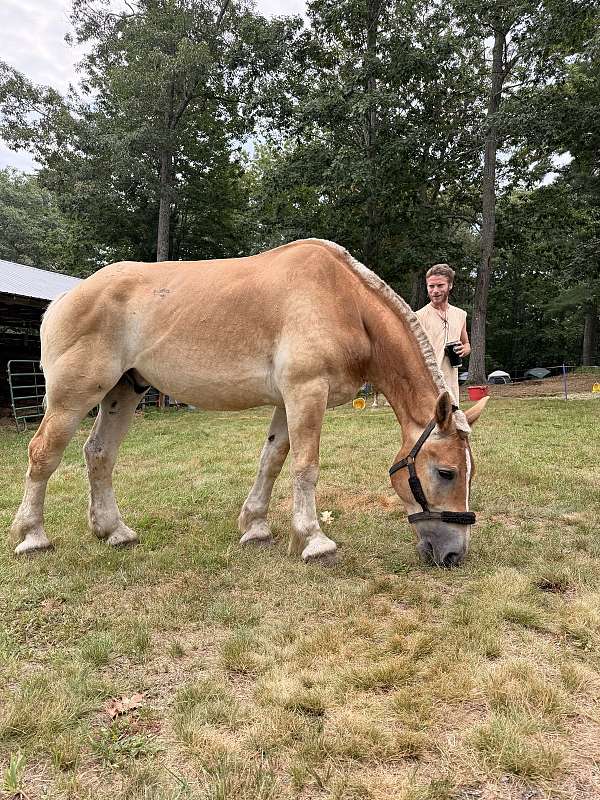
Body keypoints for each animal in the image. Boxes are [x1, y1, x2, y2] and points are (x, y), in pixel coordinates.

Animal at [10, 239, 488, 567]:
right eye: (445, 472)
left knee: (99, 455)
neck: (344, 302)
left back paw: (114, 531)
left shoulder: (287, 401)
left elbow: (272, 460)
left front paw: (256, 527)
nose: (453, 555)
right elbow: (305, 466)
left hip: (122, 392)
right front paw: (314, 541)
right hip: (73, 397)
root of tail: (65, 299)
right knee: (43, 455)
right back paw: (32, 536)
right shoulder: (306, 392)